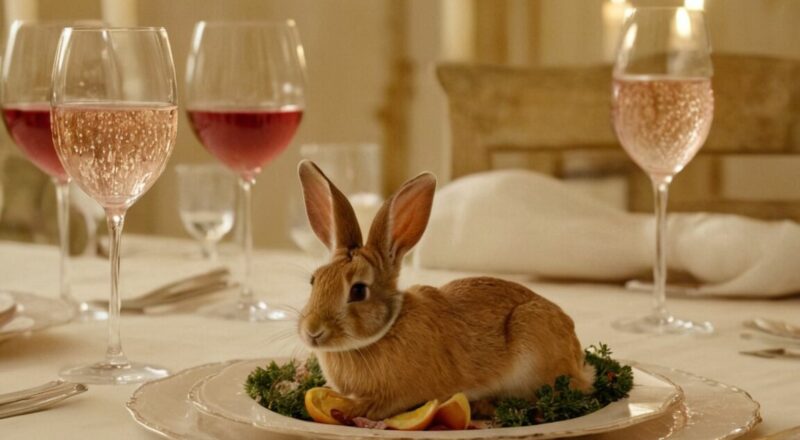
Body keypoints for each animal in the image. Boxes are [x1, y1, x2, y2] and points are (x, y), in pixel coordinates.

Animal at [296, 160, 595, 421]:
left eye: (358, 291)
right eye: (314, 280)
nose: (312, 332)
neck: (385, 330)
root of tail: (577, 358)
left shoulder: (399, 395)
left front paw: (349, 409)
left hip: (534, 336)